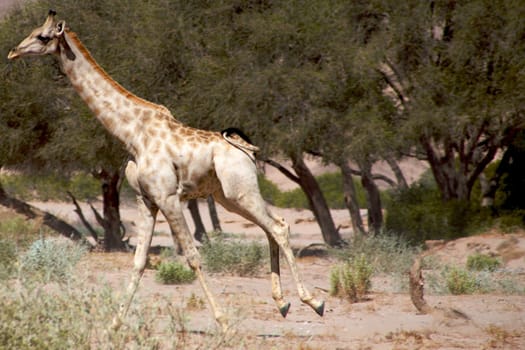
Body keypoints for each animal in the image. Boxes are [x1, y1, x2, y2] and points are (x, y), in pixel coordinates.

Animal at [9, 9, 324, 330]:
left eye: (42, 37)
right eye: (33, 31)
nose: (13, 52)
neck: (132, 134)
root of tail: (247, 151)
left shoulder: (168, 197)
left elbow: (193, 256)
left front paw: (224, 322)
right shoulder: (146, 199)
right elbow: (138, 261)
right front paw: (114, 324)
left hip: (241, 192)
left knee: (278, 227)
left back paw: (314, 302)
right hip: (230, 197)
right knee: (272, 226)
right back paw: (282, 303)